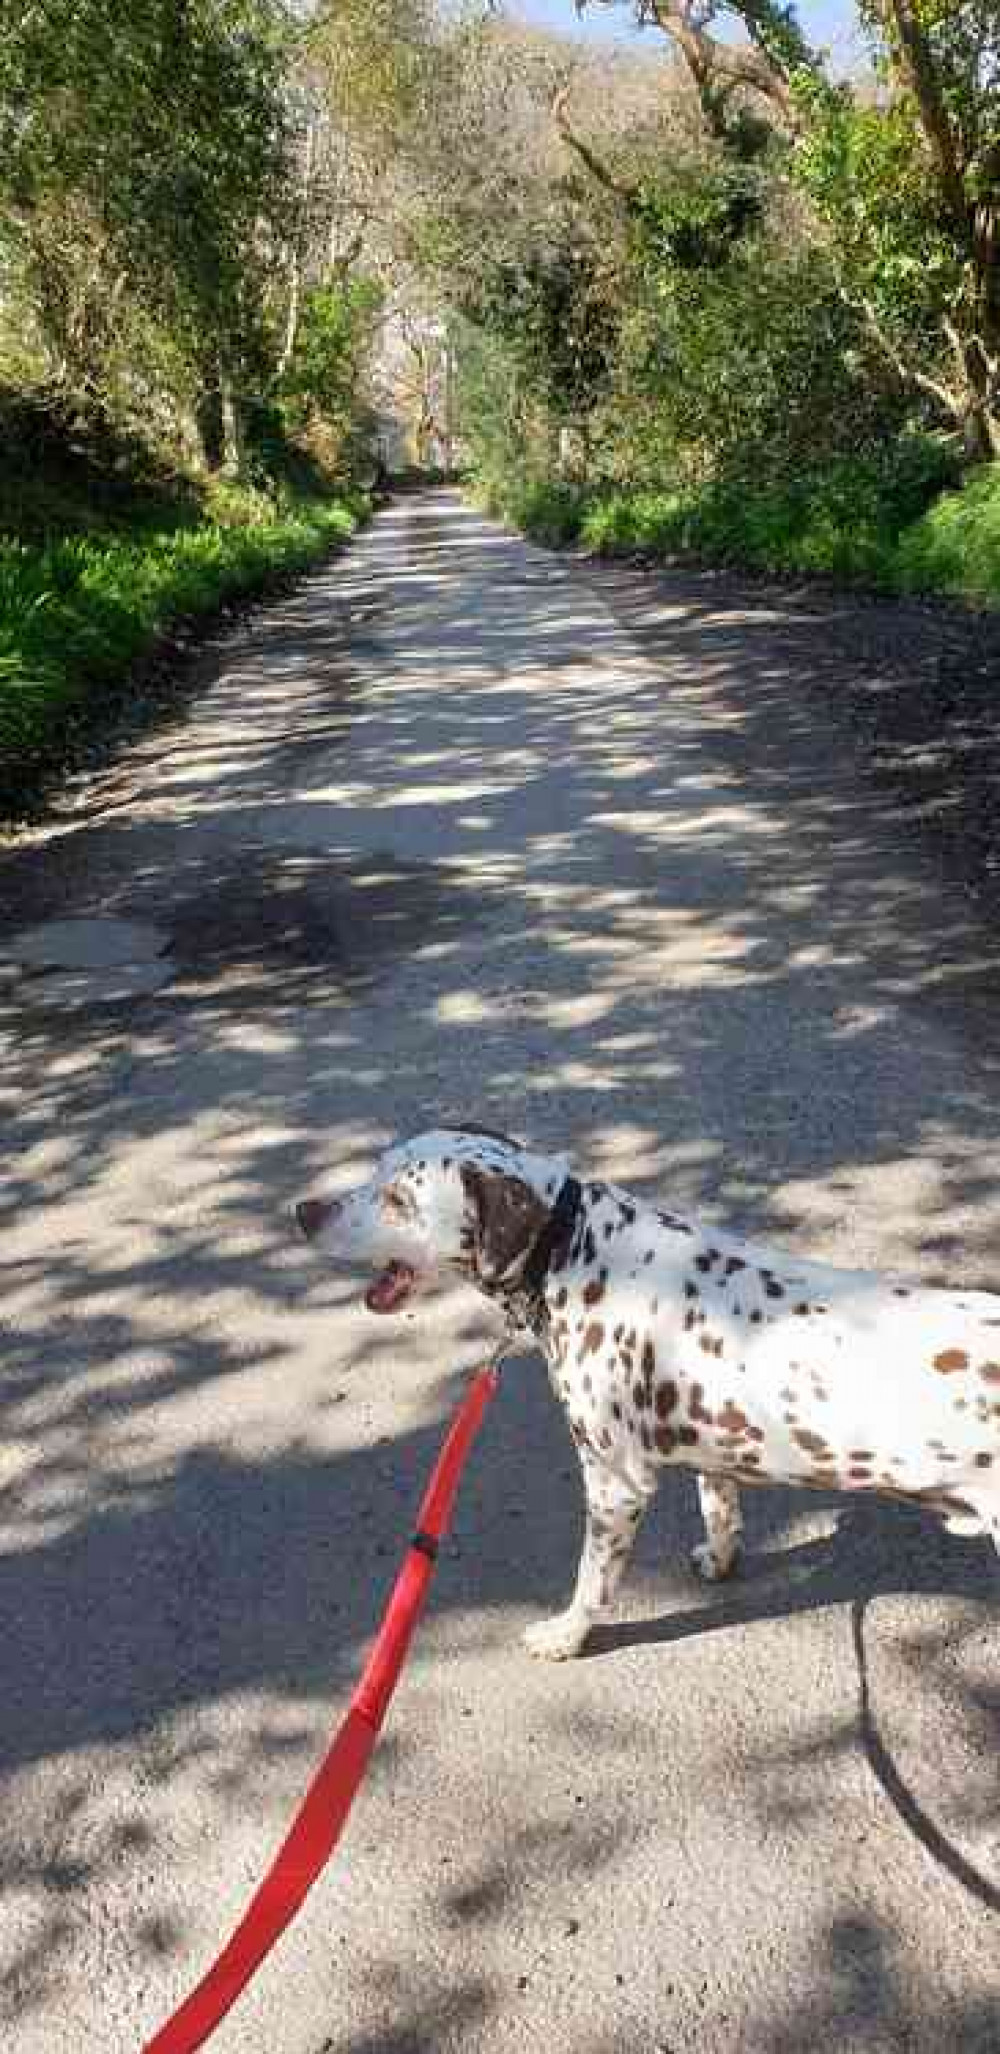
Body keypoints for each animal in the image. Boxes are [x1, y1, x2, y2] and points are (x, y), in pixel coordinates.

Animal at [297, 1133, 1000, 1659]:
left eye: (397, 1198)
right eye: (378, 1165)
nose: (304, 1212)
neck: (574, 1246)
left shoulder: (614, 1483)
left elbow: (591, 1581)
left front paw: (566, 1636)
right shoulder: (715, 1453)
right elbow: (721, 1514)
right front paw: (719, 1560)